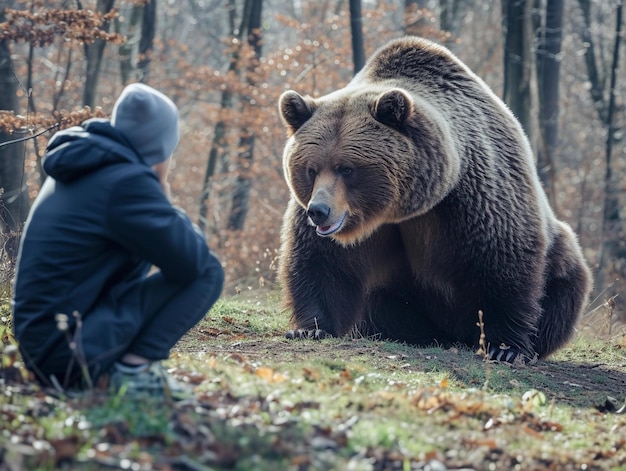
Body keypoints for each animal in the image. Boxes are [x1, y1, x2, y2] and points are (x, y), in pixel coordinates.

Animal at [276, 37, 588, 364]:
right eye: (311, 169)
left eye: (346, 168)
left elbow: (501, 263)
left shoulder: (472, 197)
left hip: (561, 251)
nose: (319, 211)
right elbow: (321, 262)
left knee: (565, 281)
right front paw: (310, 328)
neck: (402, 209)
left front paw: (505, 347)